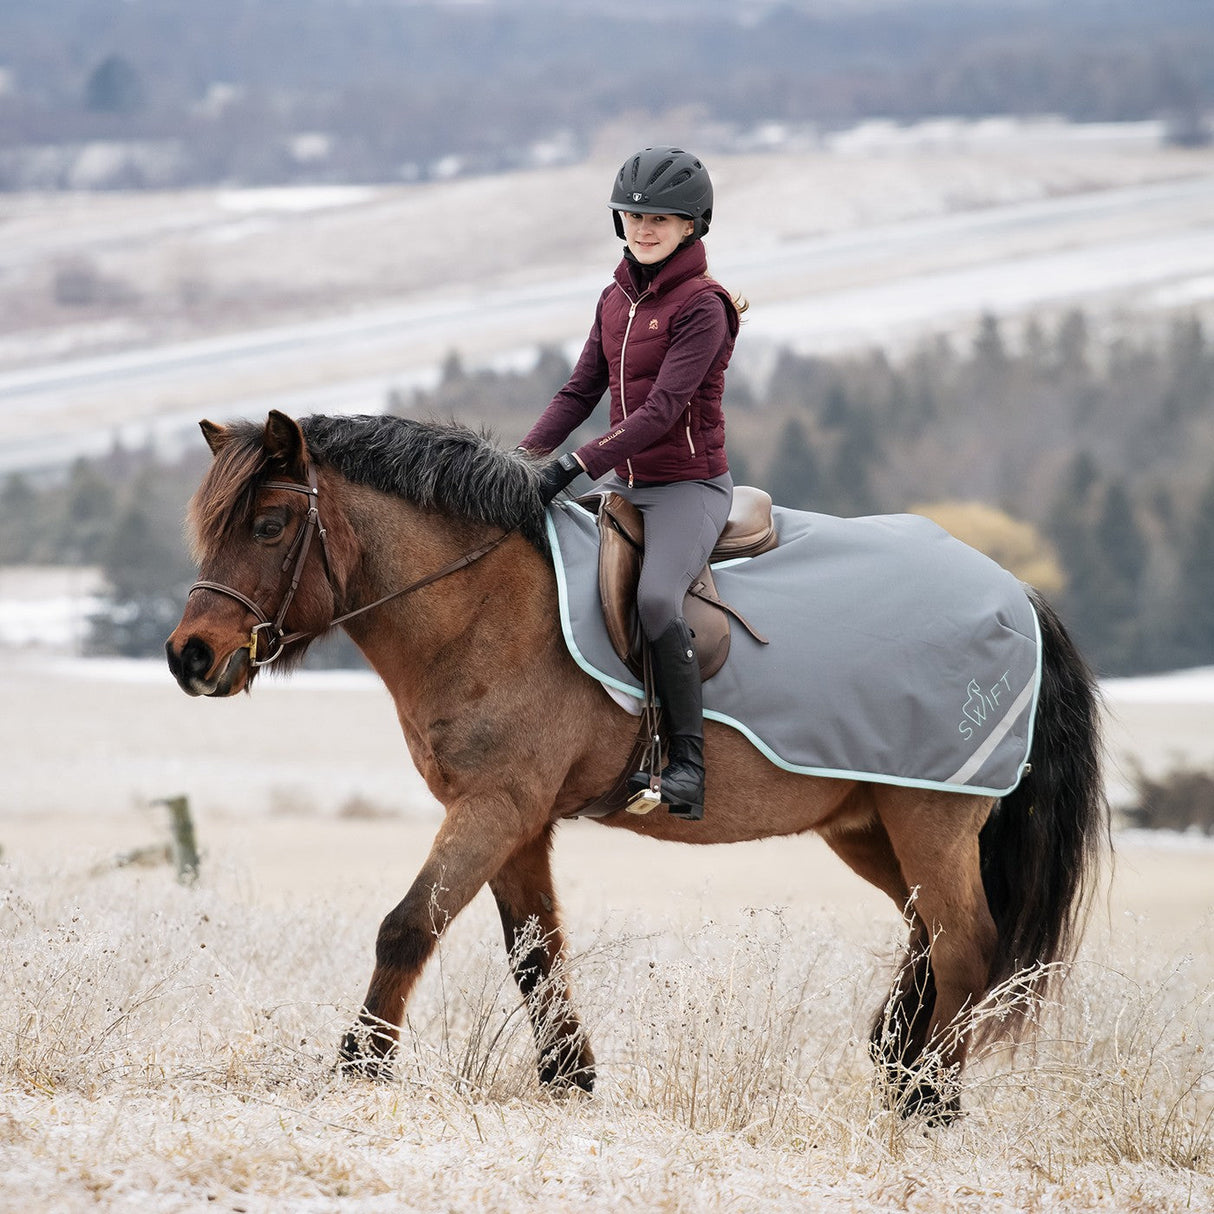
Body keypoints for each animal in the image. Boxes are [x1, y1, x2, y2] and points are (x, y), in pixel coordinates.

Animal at [165, 409, 1108, 1120]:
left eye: (270, 525)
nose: (189, 657)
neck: (486, 604)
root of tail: (1015, 592)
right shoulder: (515, 821)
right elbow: (536, 953)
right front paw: (569, 1078)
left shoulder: (495, 807)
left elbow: (408, 925)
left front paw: (360, 1067)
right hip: (874, 825)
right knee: (930, 938)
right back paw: (901, 1065)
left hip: (930, 818)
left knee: (966, 947)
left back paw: (930, 1099)